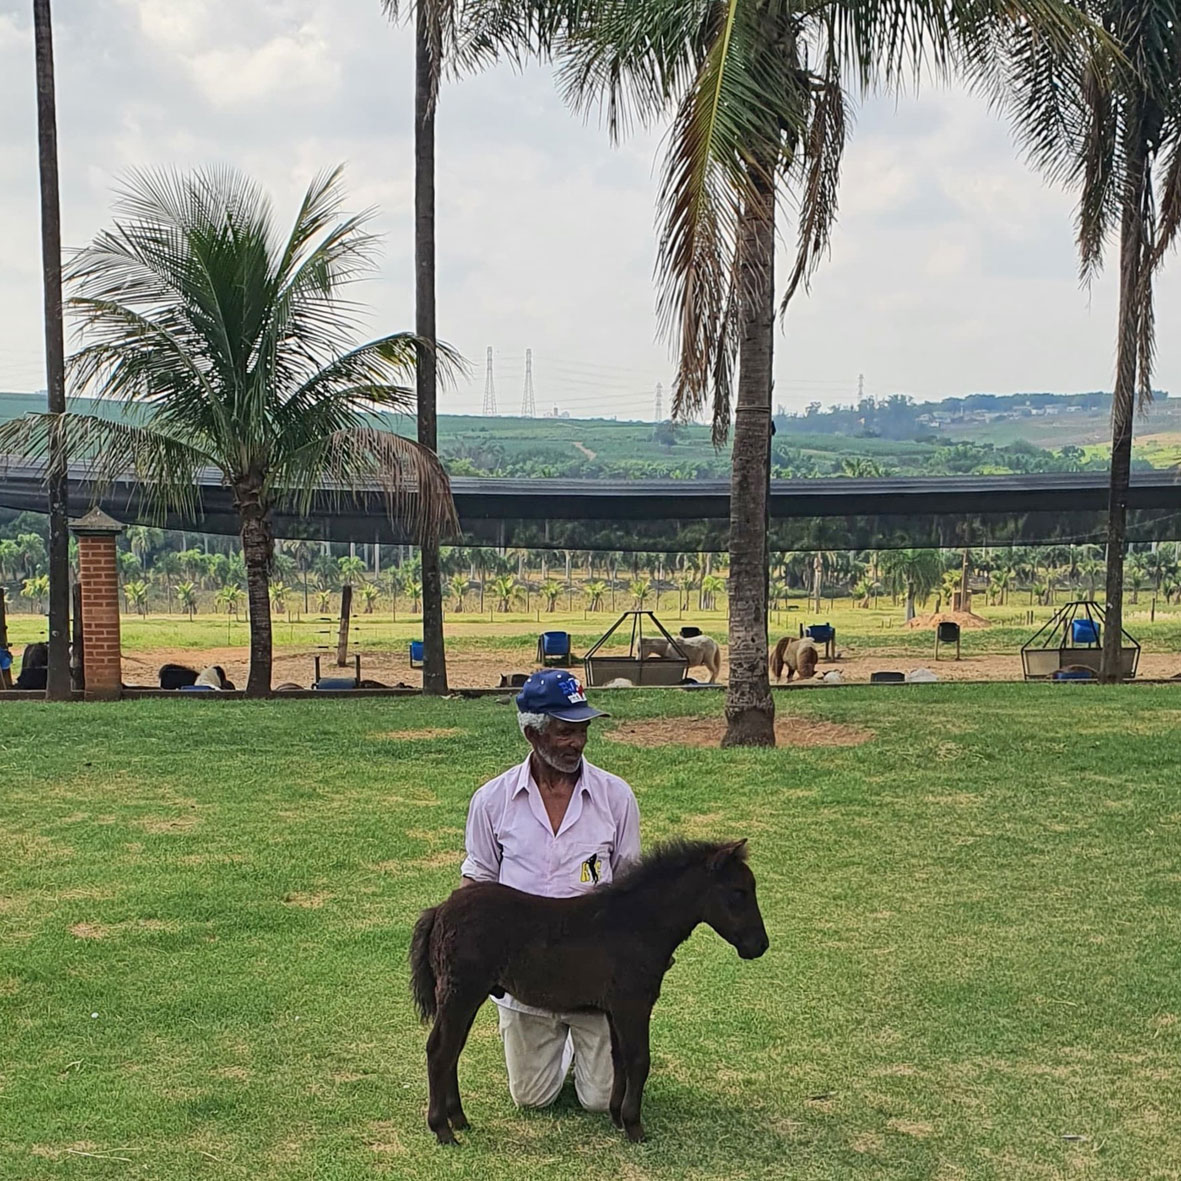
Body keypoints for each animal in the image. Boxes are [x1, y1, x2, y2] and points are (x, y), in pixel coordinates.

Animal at [410, 838, 768, 1146]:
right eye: (738, 892)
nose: (760, 946)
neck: (638, 924)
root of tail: (440, 910)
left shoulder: (615, 1010)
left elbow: (619, 1058)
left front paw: (617, 1117)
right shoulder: (633, 1005)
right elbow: (640, 1059)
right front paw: (635, 1127)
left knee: (452, 1051)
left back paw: (459, 1119)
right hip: (460, 994)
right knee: (440, 1051)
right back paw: (442, 1129)